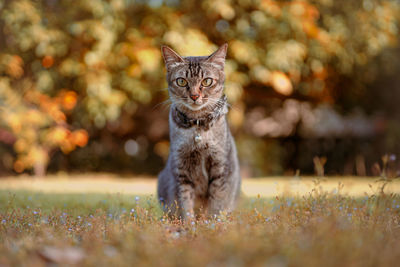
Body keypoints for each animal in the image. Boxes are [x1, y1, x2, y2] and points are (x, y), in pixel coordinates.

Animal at [157, 44, 241, 220]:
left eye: (207, 81)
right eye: (181, 81)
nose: (195, 95)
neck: (197, 128)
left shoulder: (220, 166)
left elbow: (216, 203)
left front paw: (212, 223)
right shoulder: (181, 170)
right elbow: (185, 203)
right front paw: (189, 224)